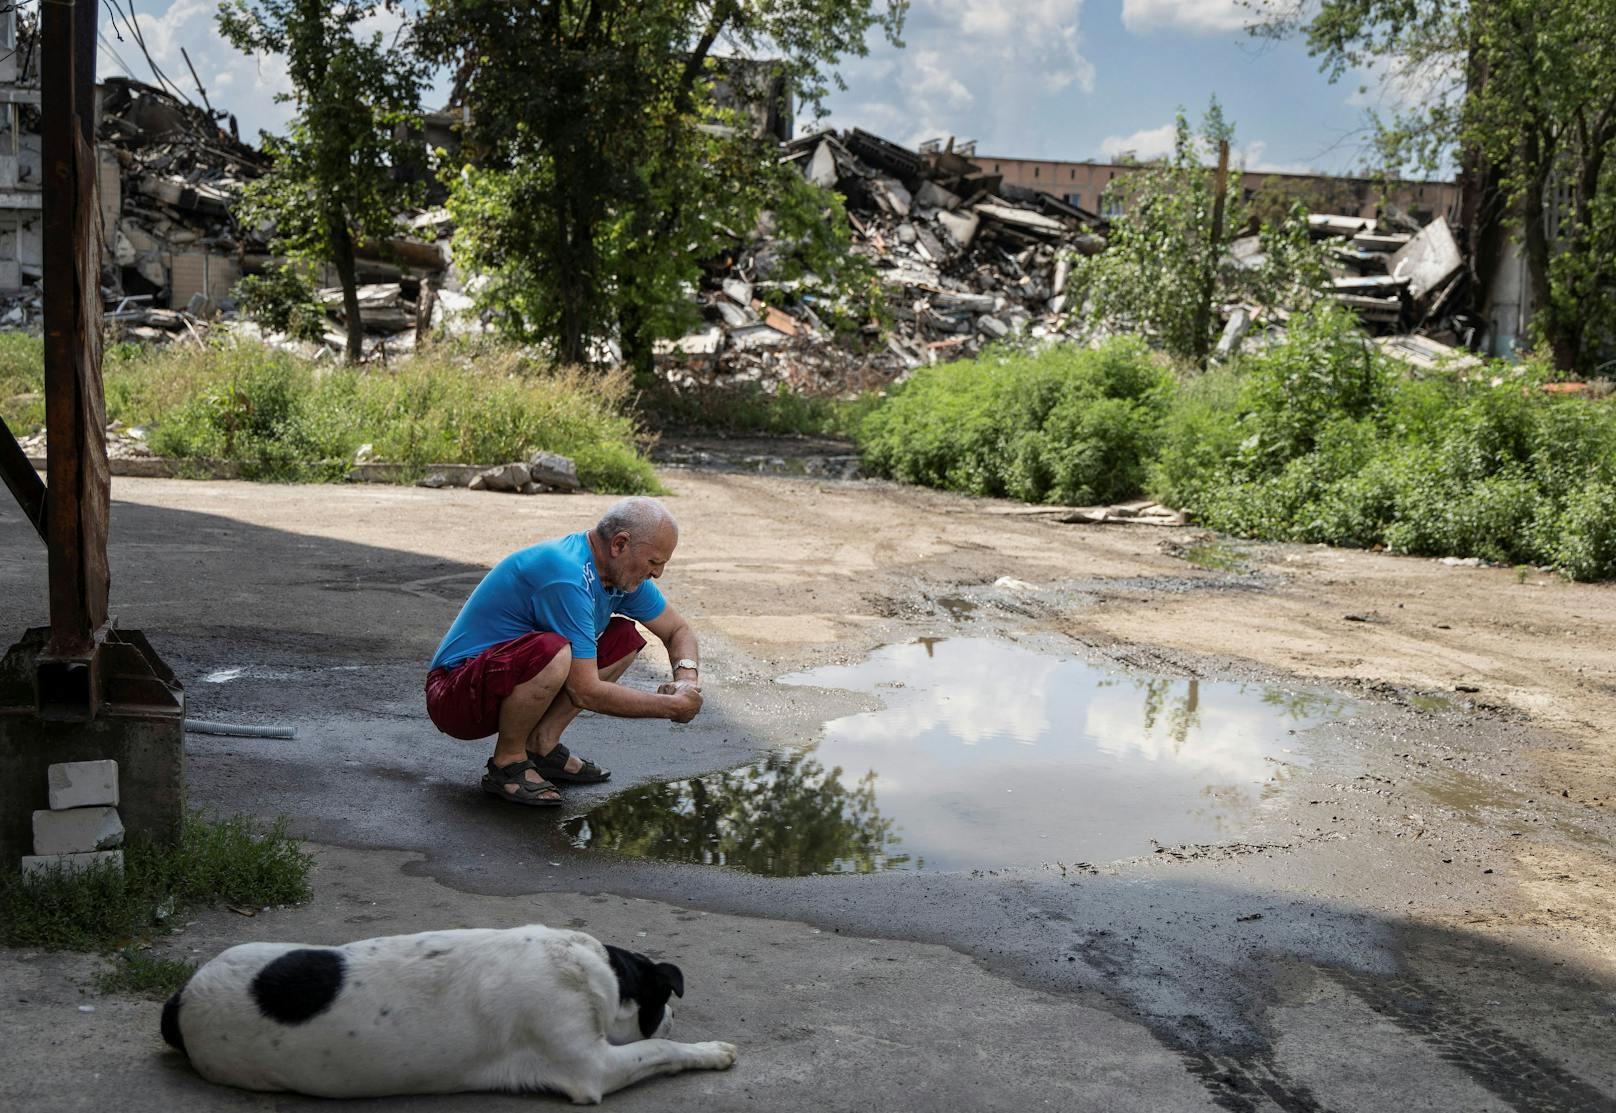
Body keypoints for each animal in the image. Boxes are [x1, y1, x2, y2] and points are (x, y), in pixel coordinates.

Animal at [157, 917, 740, 1104]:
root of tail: (181, 997)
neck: (593, 970)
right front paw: (710, 1050)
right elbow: (661, 1048)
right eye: (664, 1003)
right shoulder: (591, 1067)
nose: (674, 1013)